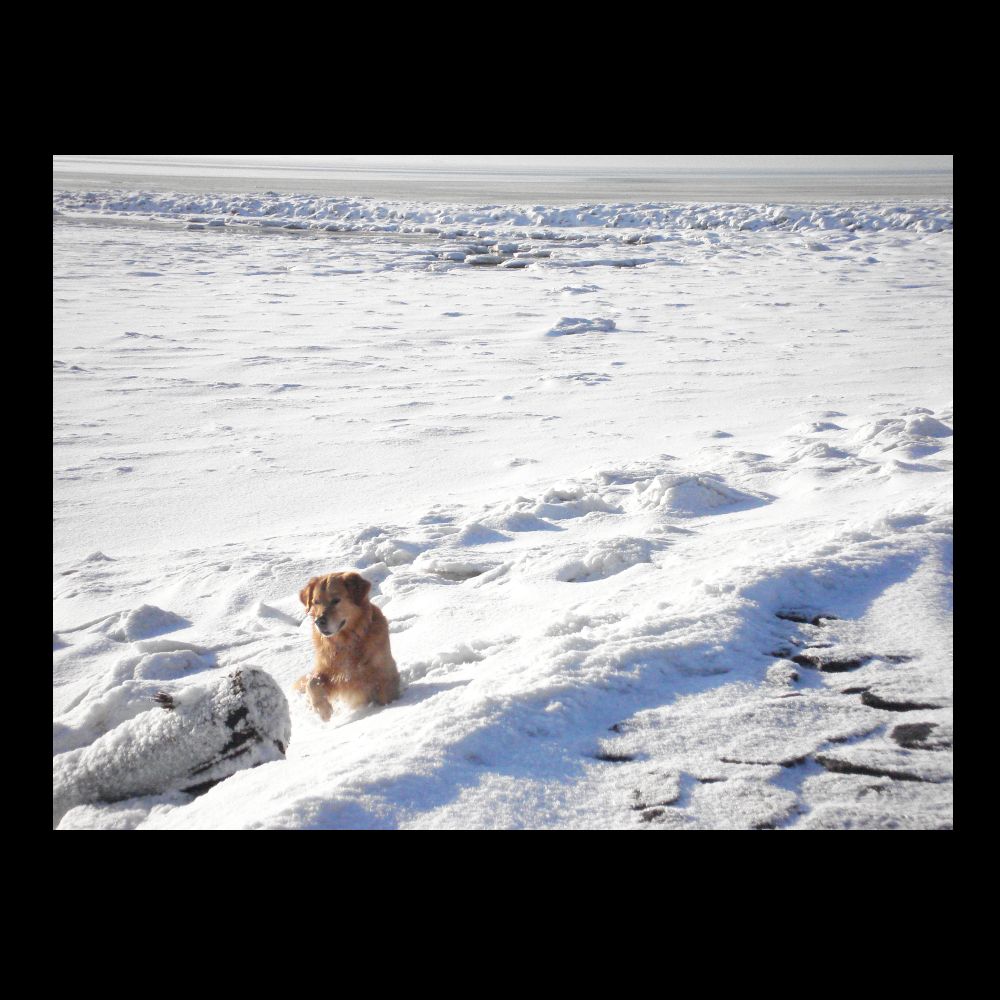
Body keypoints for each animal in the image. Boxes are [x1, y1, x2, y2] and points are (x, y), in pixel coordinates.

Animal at [292, 572, 398, 720]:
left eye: (336, 600)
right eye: (316, 602)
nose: (319, 621)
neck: (346, 642)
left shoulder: (385, 671)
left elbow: (386, 692)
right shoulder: (331, 671)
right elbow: (312, 682)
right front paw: (323, 710)